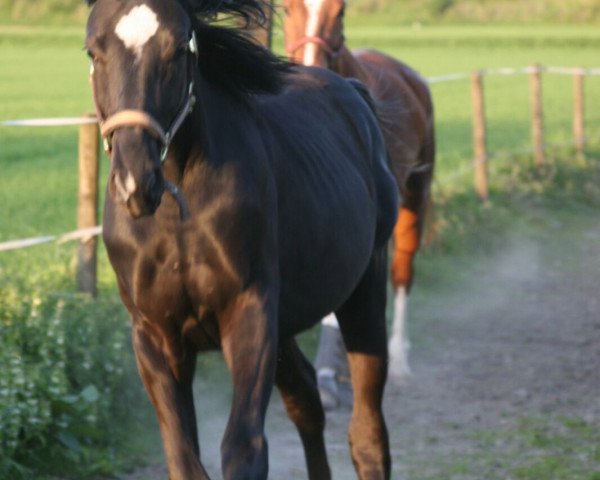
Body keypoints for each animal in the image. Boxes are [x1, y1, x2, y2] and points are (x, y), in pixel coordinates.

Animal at [83, 0, 398, 478]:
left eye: (178, 48)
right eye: (92, 51)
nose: (135, 181)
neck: (177, 213)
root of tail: (353, 92)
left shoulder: (249, 313)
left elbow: (243, 449)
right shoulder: (154, 334)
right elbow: (184, 458)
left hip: (362, 291)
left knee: (367, 434)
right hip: (287, 324)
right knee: (307, 401)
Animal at [284, 0, 434, 378]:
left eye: (340, 12)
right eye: (287, 9)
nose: (311, 63)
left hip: (415, 196)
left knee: (402, 272)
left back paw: (399, 358)